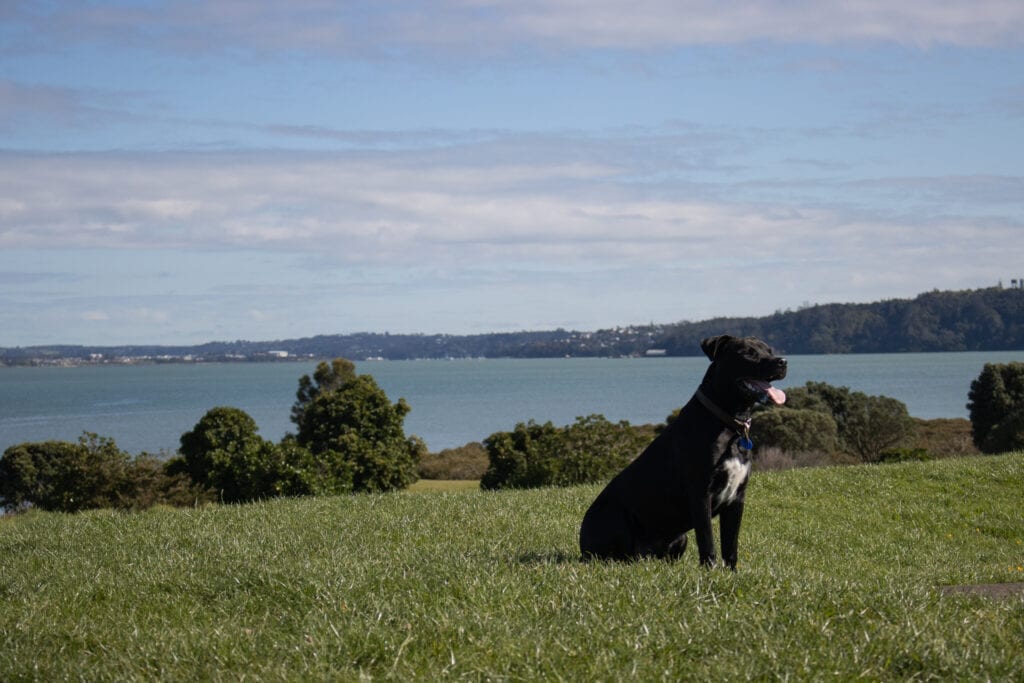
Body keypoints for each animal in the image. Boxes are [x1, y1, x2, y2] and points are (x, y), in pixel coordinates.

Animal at [581, 335, 786, 565]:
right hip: (615, 520)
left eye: (769, 350)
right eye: (748, 353)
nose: (782, 361)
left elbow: (730, 546)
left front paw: (732, 572)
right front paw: (711, 570)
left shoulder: (737, 498)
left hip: (680, 539)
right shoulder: (701, 494)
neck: (730, 422)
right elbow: (708, 541)